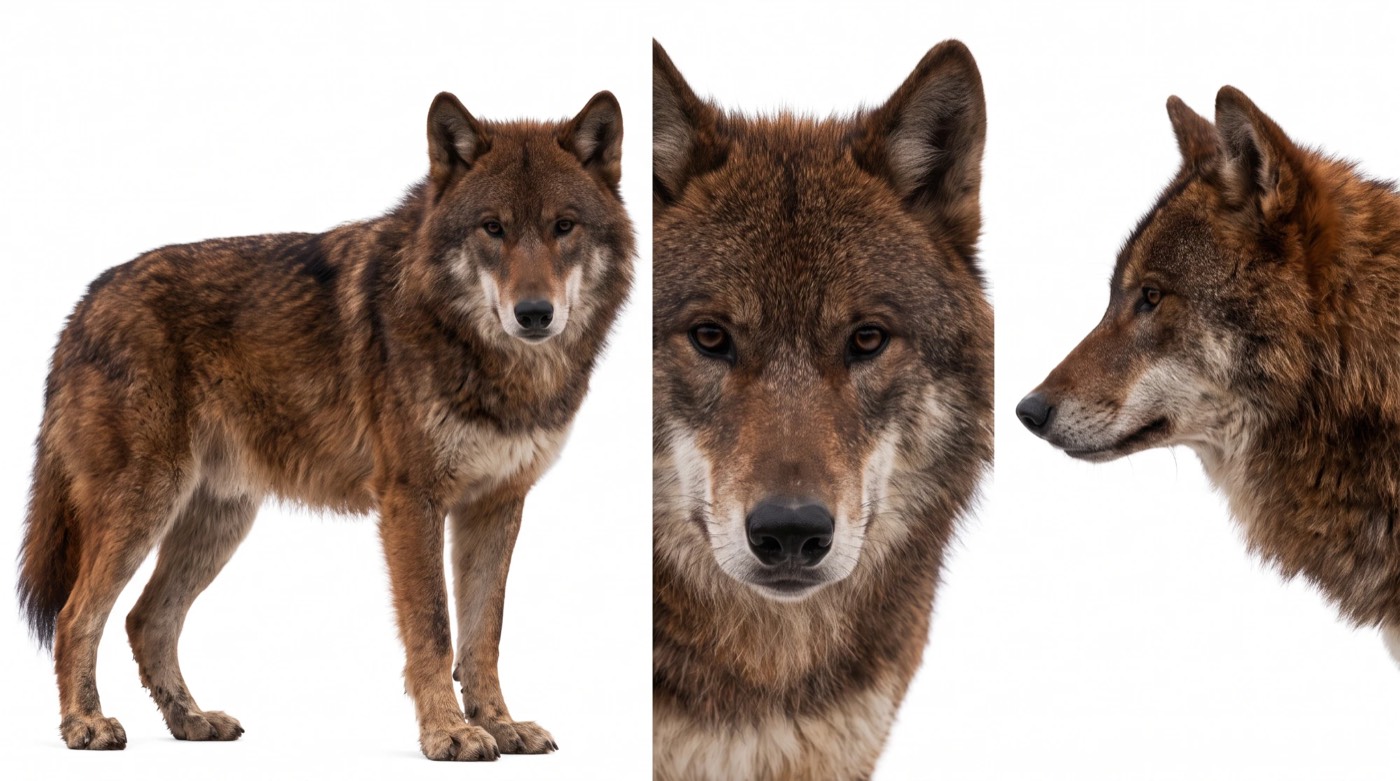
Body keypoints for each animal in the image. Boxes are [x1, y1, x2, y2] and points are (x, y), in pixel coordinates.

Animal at [16, 89, 634, 759]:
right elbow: (434, 630)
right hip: (144, 507)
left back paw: (192, 720)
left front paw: (499, 723)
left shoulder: (497, 502)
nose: (534, 313)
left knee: (146, 620)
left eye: (563, 227)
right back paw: (86, 723)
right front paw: (448, 732)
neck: (495, 364)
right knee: (77, 616)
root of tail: (83, 305)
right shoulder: (411, 500)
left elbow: (483, 634)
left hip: (219, 520)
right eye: (492, 228)